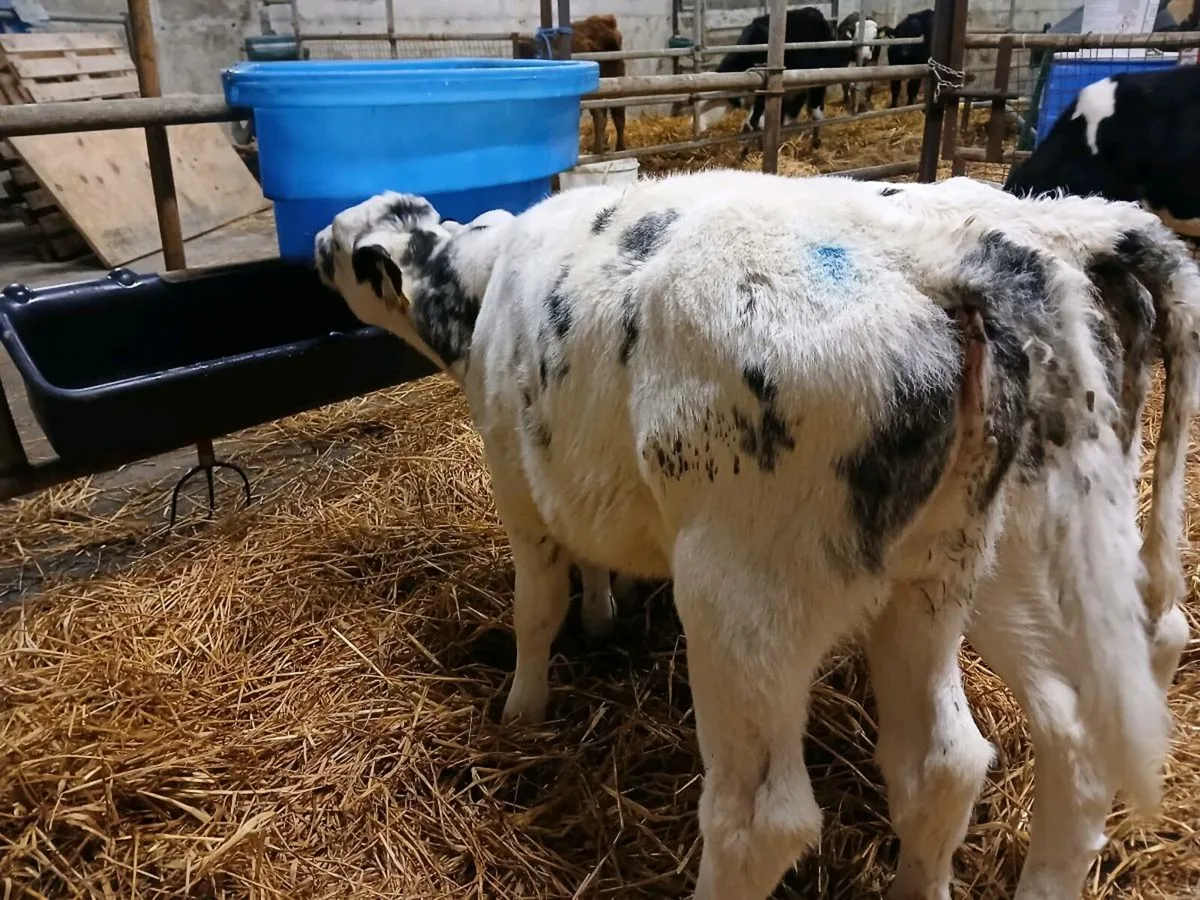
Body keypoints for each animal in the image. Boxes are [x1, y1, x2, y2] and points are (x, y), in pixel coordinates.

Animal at [315, 169, 1197, 900]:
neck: (483, 285)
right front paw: (601, 618)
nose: (317, 246)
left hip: (746, 594)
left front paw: (521, 710)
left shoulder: (516, 480)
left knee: (761, 821)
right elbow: (592, 567)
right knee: (974, 757)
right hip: (952, 574)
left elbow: (536, 609)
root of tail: (955, 257)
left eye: (354, 245)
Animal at [514, 14, 626, 155]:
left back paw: (620, 149)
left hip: (616, 83)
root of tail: (604, 20)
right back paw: (598, 149)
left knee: (618, 116)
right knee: (600, 116)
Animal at [696, 7, 846, 149]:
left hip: (817, 79)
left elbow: (755, 122)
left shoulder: (765, 94)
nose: (697, 127)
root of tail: (814, 11)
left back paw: (815, 141)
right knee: (794, 113)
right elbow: (752, 122)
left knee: (816, 112)